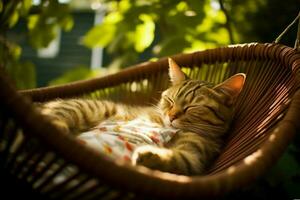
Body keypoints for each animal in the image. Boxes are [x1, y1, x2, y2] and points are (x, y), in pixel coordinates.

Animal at [39, 58, 245, 175]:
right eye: (170, 100)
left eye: (192, 107)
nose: (171, 116)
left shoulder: (193, 158)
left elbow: (178, 159)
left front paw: (149, 155)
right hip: (92, 106)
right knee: (54, 115)